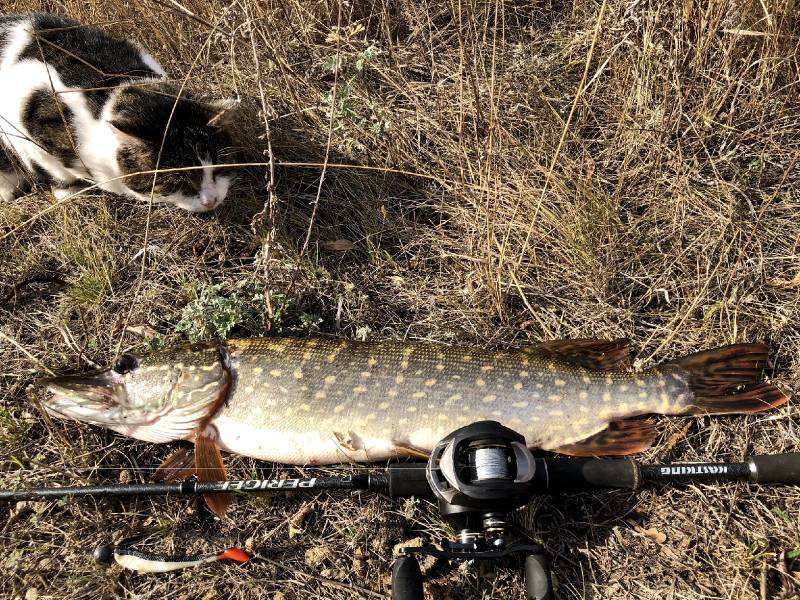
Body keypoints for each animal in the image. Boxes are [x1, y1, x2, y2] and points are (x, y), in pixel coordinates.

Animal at [0, 13, 236, 213]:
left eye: (219, 169)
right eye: (179, 181)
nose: (211, 200)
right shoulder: (26, 128)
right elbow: (53, 170)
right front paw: (68, 192)